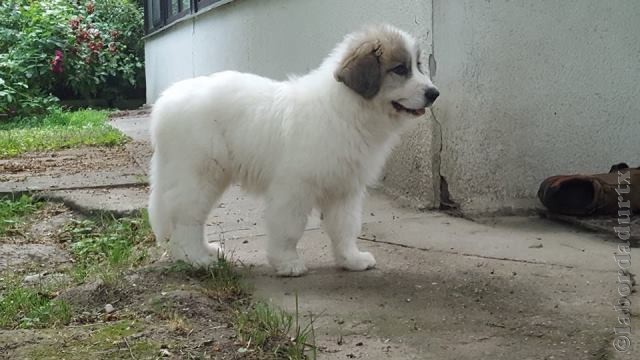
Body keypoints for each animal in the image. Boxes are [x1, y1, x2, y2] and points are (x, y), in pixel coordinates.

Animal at [150, 24, 440, 276]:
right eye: (400, 69)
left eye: (418, 66)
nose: (434, 93)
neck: (348, 109)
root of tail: (166, 102)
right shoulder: (294, 188)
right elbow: (290, 228)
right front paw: (287, 263)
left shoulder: (344, 189)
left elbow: (345, 227)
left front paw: (351, 259)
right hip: (199, 175)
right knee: (186, 218)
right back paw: (195, 258)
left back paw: (207, 251)